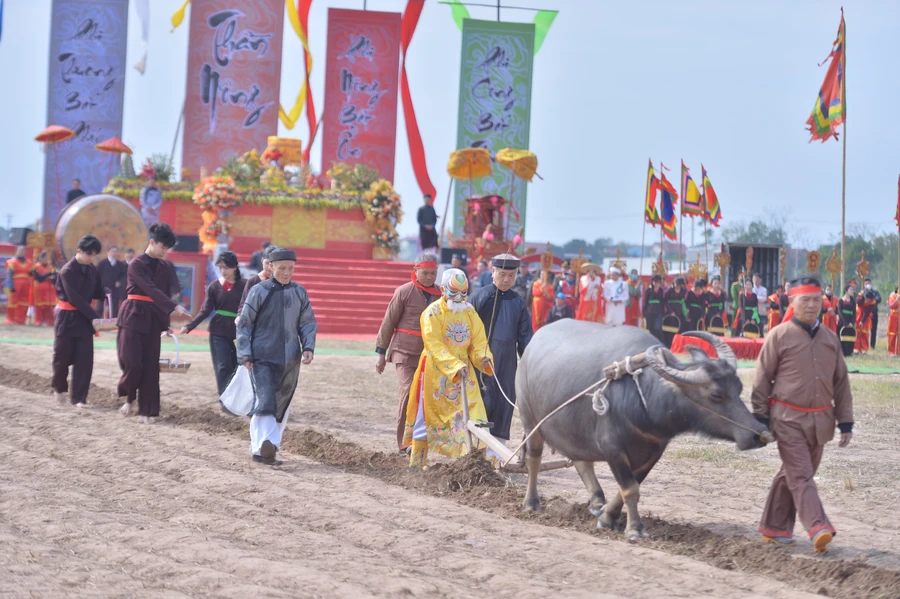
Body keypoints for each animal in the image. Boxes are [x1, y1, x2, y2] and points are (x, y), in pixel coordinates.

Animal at [516, 322, 768, 540]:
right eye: (716, 394)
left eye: (739, 387)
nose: (758, 433)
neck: (643, 396)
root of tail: (532, 344)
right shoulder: (612, 448)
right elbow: (630, 489)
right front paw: (634, 529)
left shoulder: (653, 452)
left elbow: (628, 488)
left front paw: (607, 517)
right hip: (531, 422)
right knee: (534, 460)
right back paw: (531, 503)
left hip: (574, 429)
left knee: (581, 461)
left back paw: (597, 502)